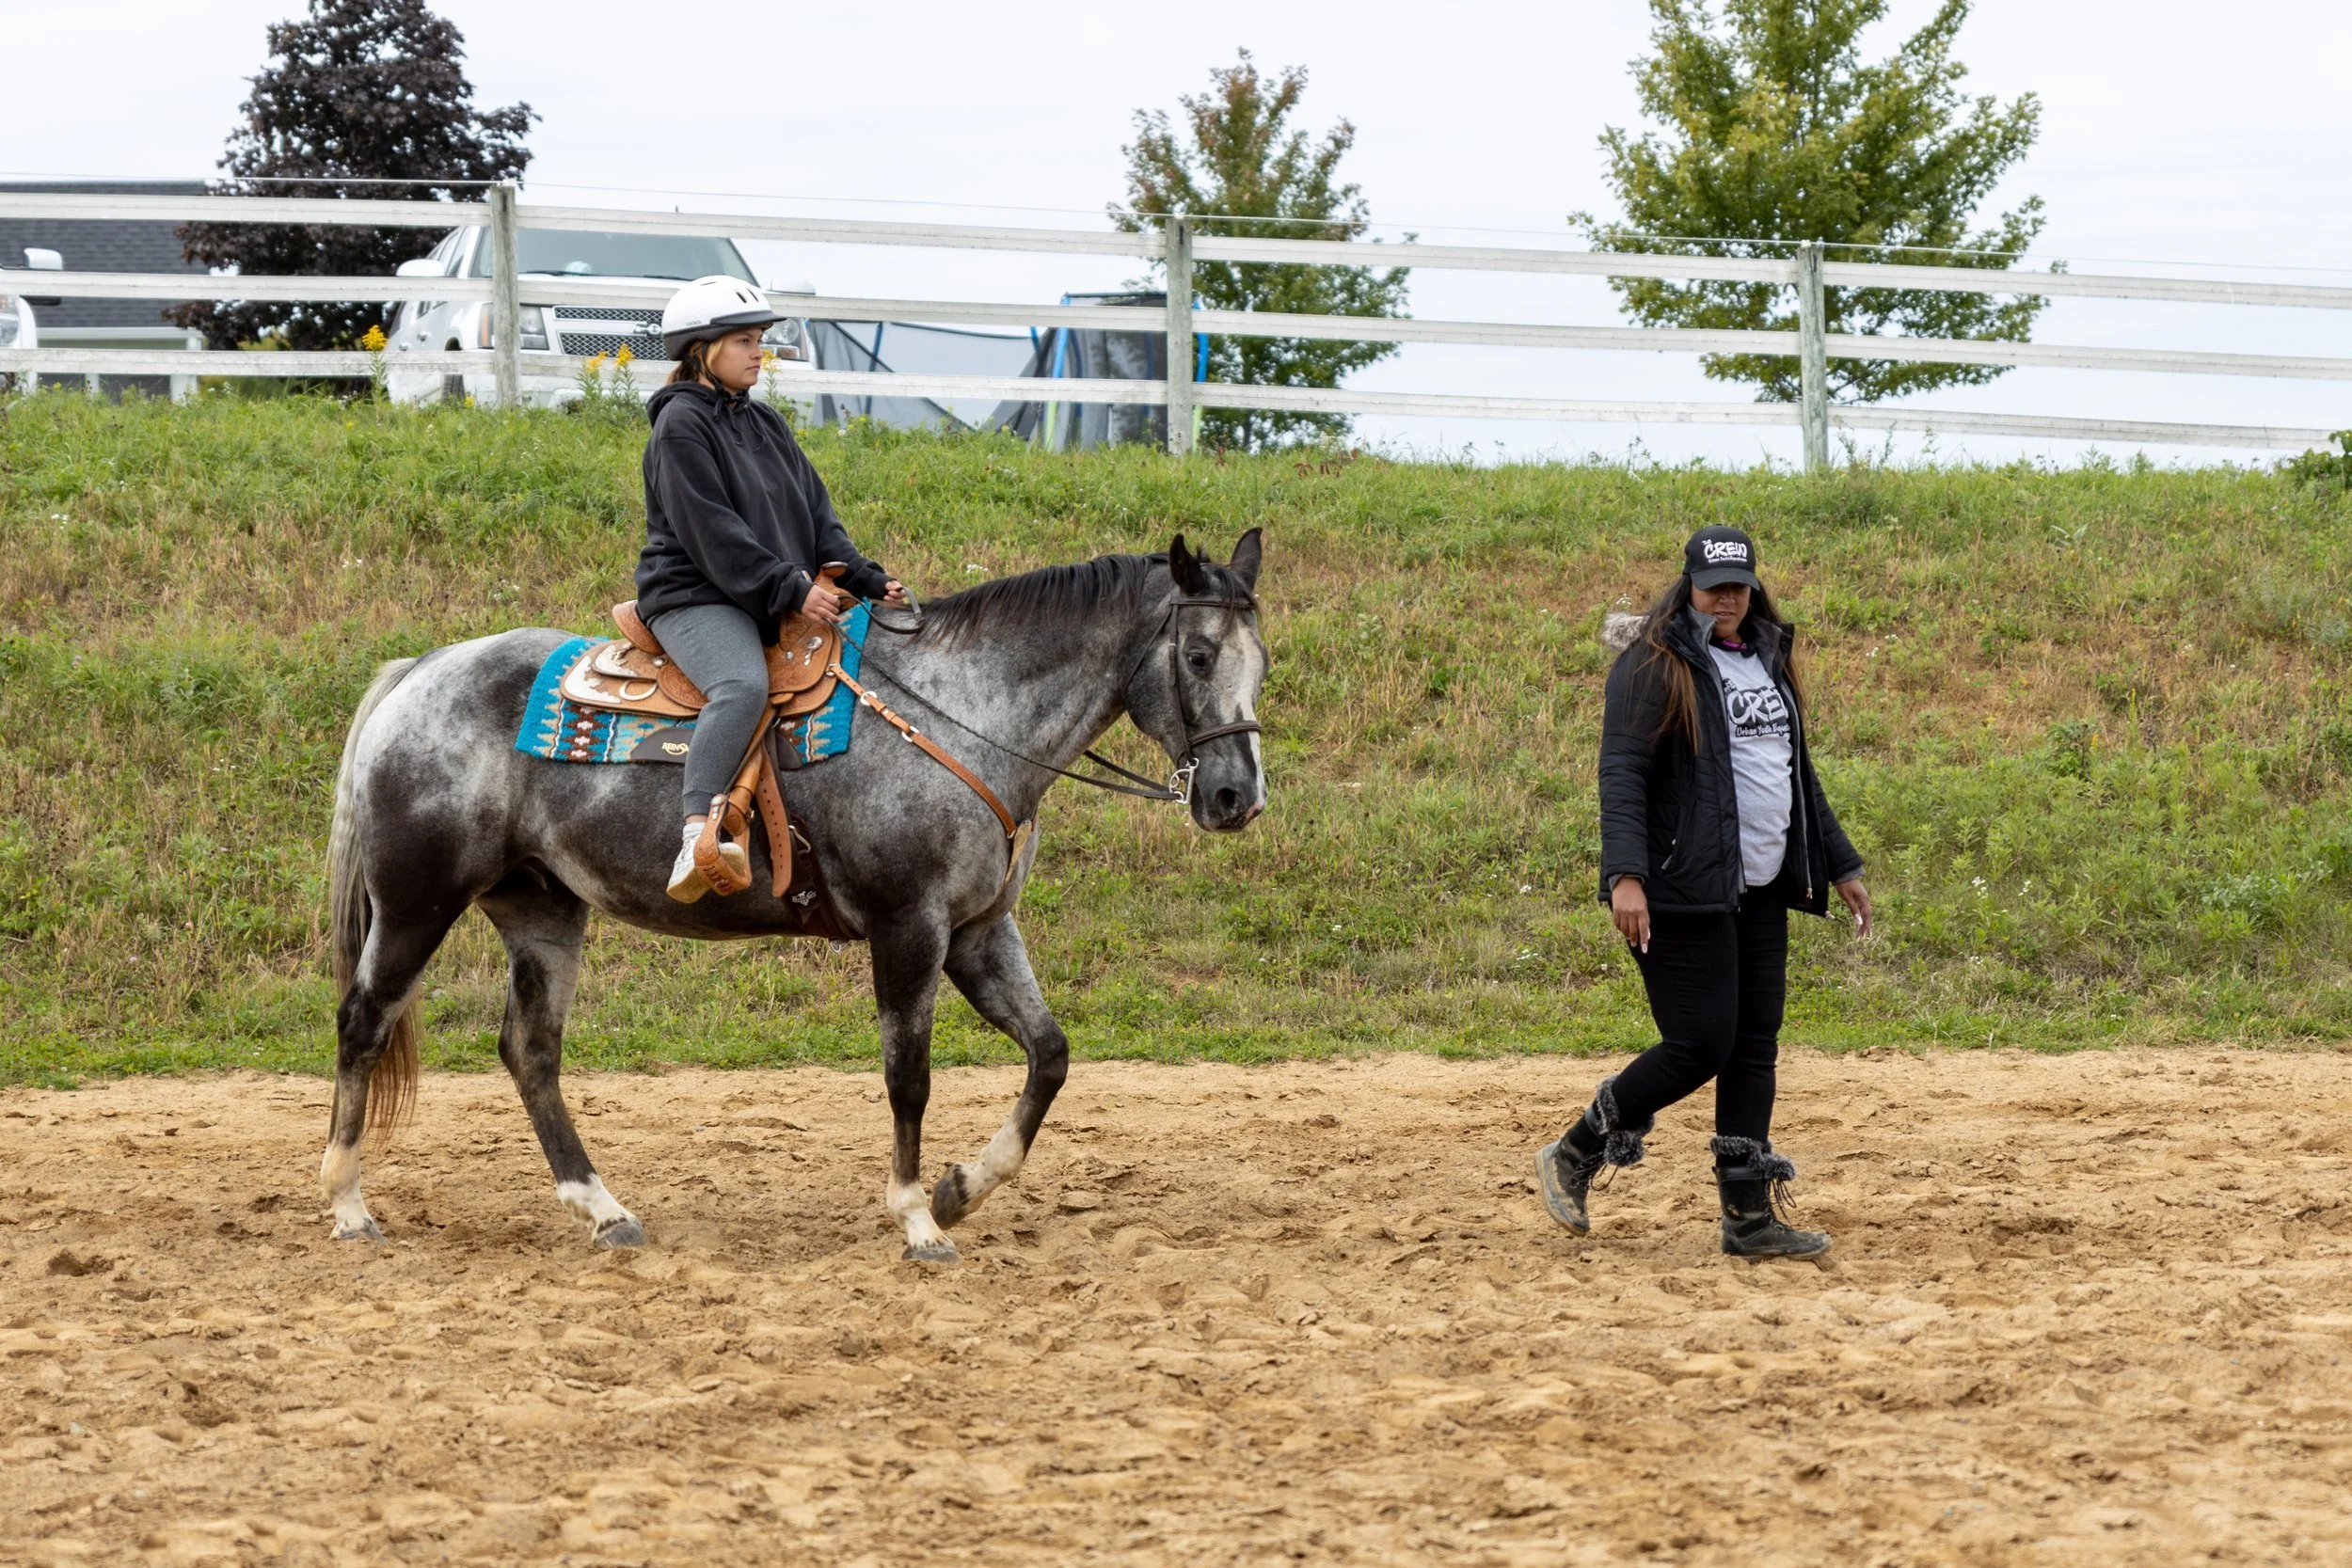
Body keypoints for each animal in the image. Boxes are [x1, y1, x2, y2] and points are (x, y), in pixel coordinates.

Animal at [321, 530, 1266, 1263]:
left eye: (1262, 660)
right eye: (1197, 655)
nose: (1235, 796)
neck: (959, 714)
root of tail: (420, 670)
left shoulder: (979, 931)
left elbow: (1051, 1054)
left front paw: (962, 1187)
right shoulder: (908, 927)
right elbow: (909, 1075)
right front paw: (918, 1218)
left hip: (543, 909)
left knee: (531, 1051)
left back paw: (604, 1210)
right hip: (417, 903)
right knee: (364, 1022)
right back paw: (348, 1204)